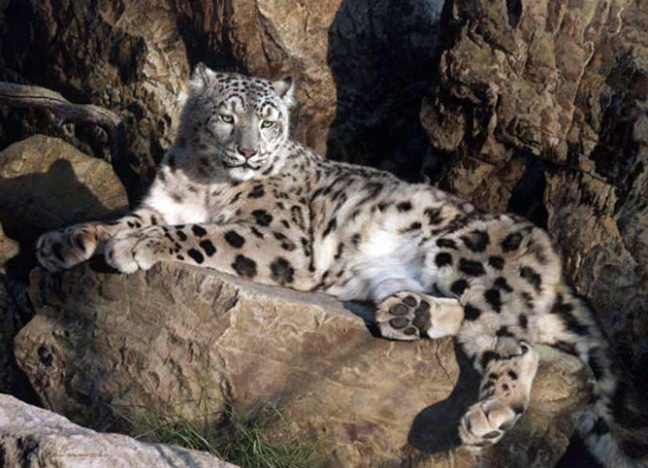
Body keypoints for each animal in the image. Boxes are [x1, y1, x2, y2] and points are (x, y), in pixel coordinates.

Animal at [37, 65, 646, 467]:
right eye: (226, 117)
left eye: (269, 122)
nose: (249, 152)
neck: (204, 182)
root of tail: (551, 255)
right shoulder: (159, 205)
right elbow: (120, 221)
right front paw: (63, 240)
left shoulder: (279, 238)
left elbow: (198, 234)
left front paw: (134, 248)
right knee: (472, 325)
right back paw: (408, 315)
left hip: (465, 257)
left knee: (515, 344)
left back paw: (489, 414)